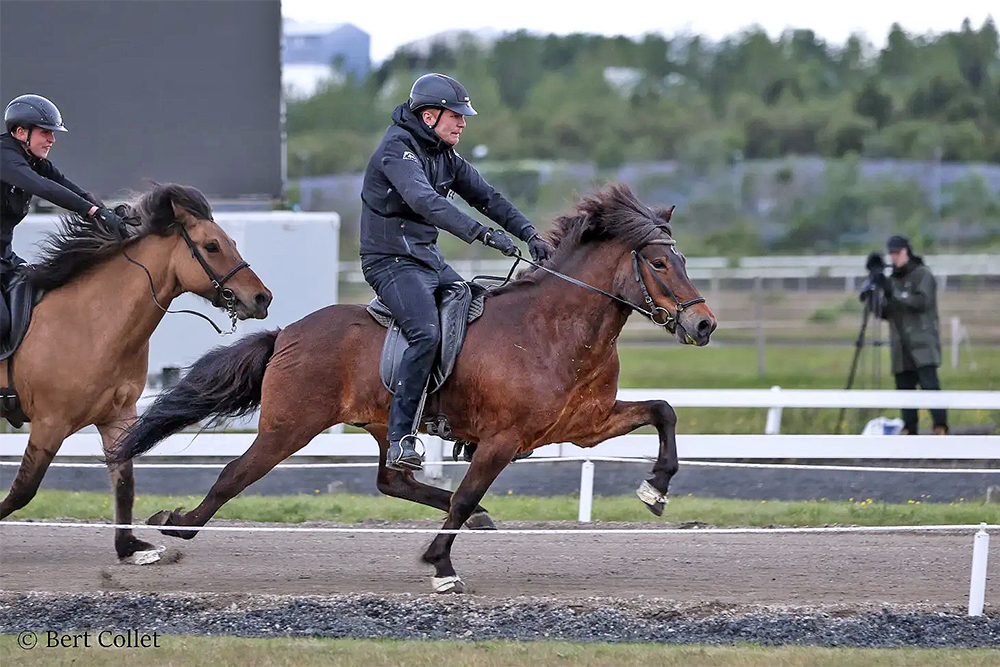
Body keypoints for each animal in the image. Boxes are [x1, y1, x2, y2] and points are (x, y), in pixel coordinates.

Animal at [0, 185, 272, 568]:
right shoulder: (50, 422)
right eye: (212, 246)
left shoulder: (117, 416)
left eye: (230, 241)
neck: (91, 323)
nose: (262, 298)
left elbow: (125, 481)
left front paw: (128, 546)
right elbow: (23, 490)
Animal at [113, 183, 716, 588]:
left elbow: (663, 411)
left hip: (388, 424)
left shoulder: (585, 425)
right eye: (660, 262)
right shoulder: (502, 439)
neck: (553, 327)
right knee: (236, 473)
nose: (704, 325)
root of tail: (289, 332)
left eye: (683, 259)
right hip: (289, 427)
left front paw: (656, 488)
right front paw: (441, 565)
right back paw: (176, 524)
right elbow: (471, 488)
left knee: (393, 481)